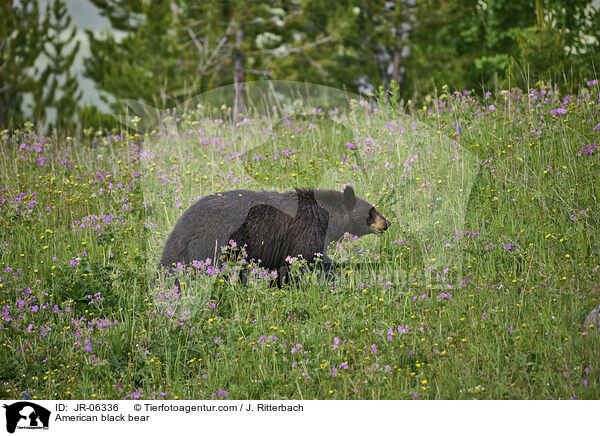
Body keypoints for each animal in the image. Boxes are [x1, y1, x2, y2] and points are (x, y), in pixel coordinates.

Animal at [159, 186, 392, 286]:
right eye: (372, 211)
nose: (387, 222)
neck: (328, 214)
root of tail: (181, 228)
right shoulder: (306, 230)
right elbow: (310, 257)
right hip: (210, 244)